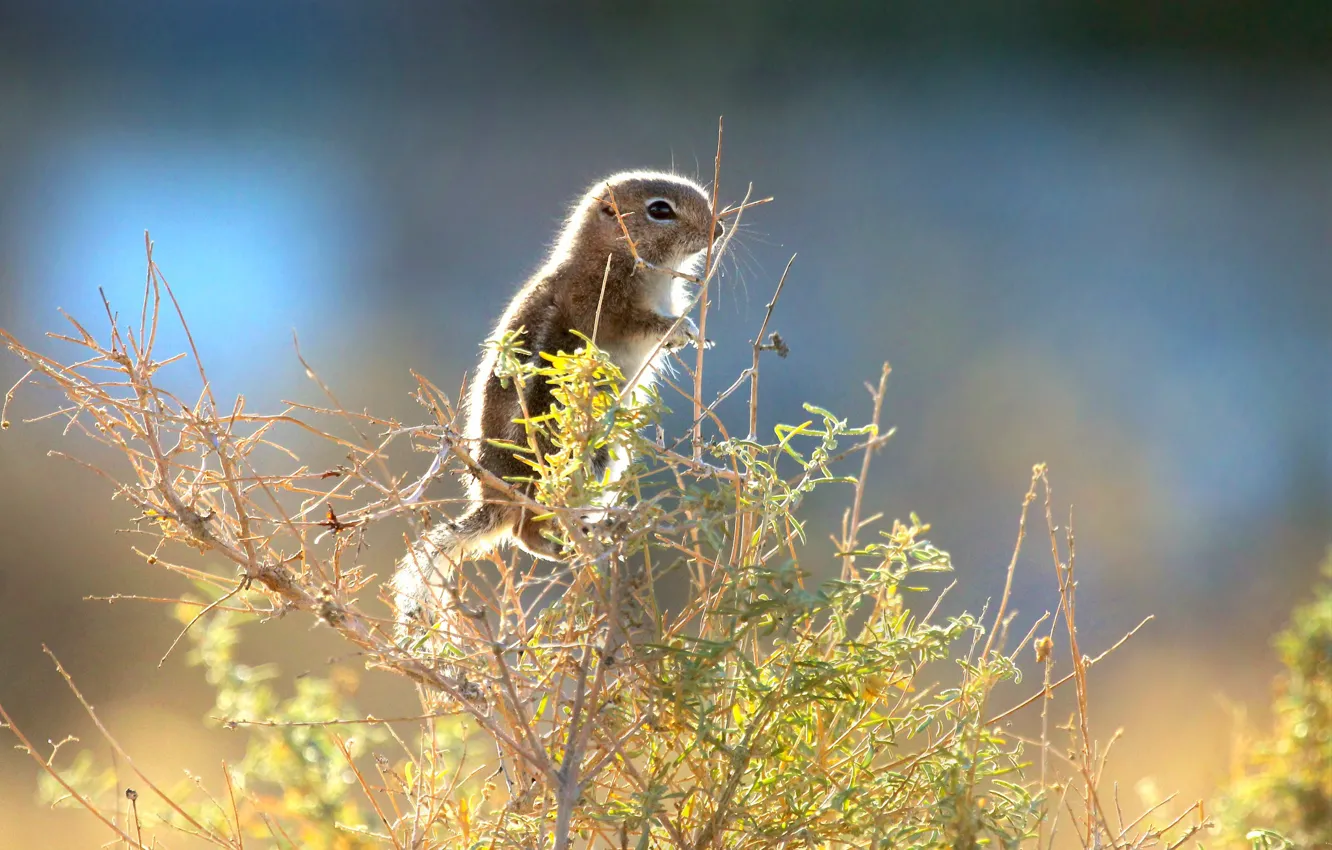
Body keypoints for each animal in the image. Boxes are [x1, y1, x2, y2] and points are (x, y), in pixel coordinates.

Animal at [393, 171, 723, 639]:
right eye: (660, 209)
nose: (718, 229)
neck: (608, 254)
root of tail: (494, 501)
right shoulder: (609, 308)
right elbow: (643, 324)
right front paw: (681, 329)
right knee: (525, 532)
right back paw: (569, 546)